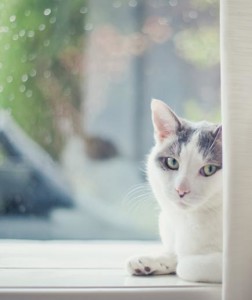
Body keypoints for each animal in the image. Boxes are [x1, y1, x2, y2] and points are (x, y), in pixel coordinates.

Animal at [127, 99, 221, 282]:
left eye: (209, 169)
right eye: (172, 162)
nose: (181, 190)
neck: (189, 219)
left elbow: (187, 266)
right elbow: (174, 252)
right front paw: (151, 260)